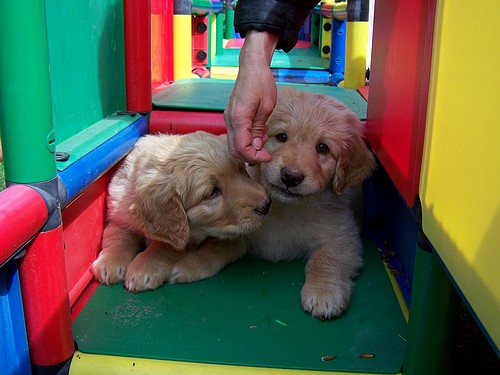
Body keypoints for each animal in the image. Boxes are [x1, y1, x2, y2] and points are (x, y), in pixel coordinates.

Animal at [90, 132, 270, 294]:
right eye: (212, 192)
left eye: (240, 169)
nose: (266, 204)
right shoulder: (119, 211)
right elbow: (117, 235)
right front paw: (110, 261)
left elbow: (166, 246)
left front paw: (146, 267)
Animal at [172, 89, 376, 320]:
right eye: (281, 137)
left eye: (323, 148)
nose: (290, 176)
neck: (286, 208)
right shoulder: (244, 231)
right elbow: (216, 247)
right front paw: (191, 264)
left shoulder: (342, 235)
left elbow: (327, 259)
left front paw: (324, 292)